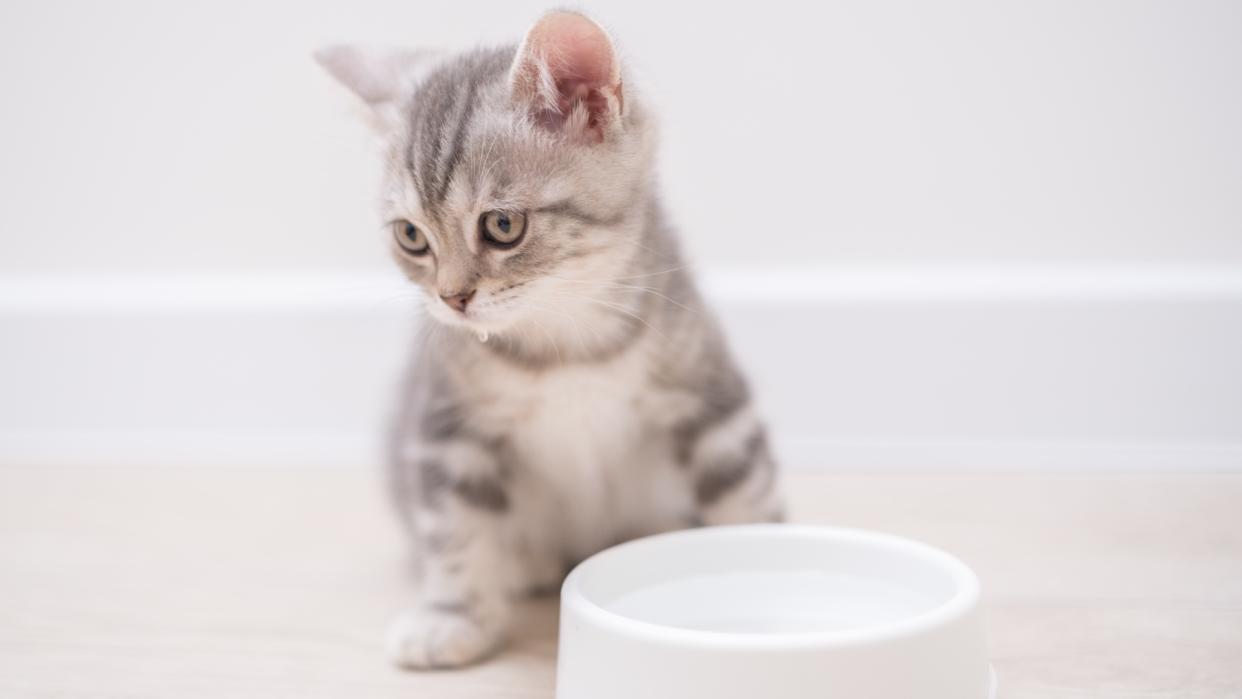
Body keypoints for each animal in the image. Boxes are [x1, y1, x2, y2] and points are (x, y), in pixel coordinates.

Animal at [315, 9, 779, 665]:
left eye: (502, 225)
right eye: (411, 237)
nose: (451, 298)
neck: (565, 341)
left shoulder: (712, 398)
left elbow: (747, 497)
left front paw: (764, 572)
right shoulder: (448, 425)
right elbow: (455, 528)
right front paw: (451, 616)